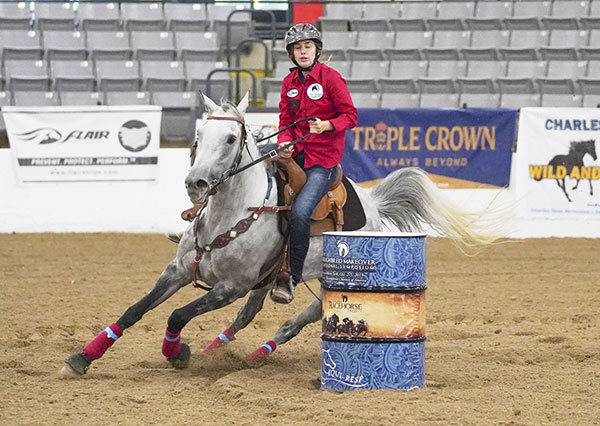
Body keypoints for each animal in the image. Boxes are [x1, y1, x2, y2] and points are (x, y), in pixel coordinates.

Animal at [62, 94, 510, 376]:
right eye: (199, 136)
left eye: (230, 137)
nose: (196, 183)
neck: (229, 214)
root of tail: (373, 206)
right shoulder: (178, 271)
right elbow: (134, 311)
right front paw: (84, 356)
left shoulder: (230, 287)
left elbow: (177, 315)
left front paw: (177, 354)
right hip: (267, 279)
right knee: (247, 316)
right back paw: (216, 350)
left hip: (331, 281)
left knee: (298, 321)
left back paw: (255, 355)